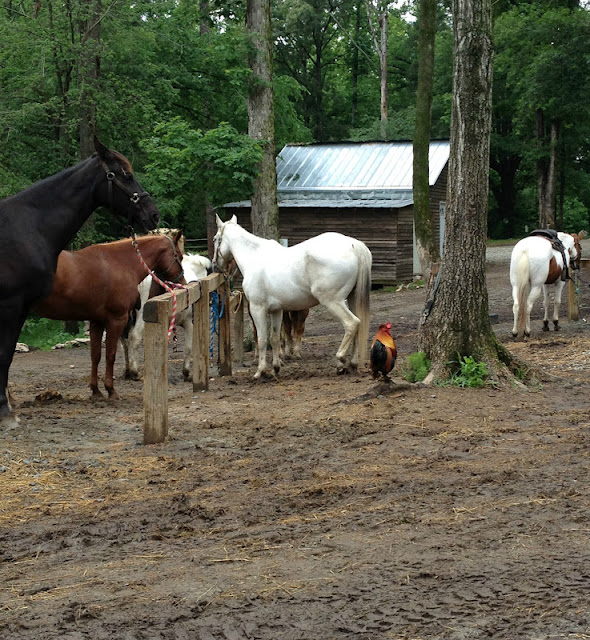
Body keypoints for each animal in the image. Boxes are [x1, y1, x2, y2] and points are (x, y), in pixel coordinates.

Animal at [0, 137, 160, 427]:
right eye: (126, 175)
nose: (153, 214)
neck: (27, 228)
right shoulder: (10, 306)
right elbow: (4, 355)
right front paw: (5, 413)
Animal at [32, 233, 184, 400]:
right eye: (180, 256)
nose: (183, 282)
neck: (119, 264)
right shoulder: (117, 320)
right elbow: (110, 355)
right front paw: (111, 390)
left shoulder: (96, 321)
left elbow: (96, 355)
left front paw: (96, 390)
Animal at [121, 253, 211, 381]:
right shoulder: (189, 322)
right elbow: (188, 348)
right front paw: (187, 372)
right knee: (134, 337)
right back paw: (135, 371)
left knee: (124, 341)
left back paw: (127, 370)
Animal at [212, 214, 372, 378]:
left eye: (215, 239)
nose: (215, 266)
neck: (254, 257)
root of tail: (354, 245)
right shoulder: (276, 311)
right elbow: (274, 338)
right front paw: (276, 368)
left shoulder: (258, 309)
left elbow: (263, 340)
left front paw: (260, 371)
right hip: (352, 299)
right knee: (359, 325)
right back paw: (353, 363)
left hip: (333, 301)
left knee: (352, 323)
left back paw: (340, 361)